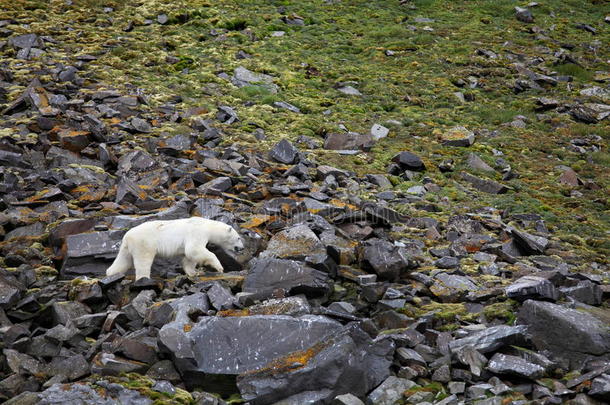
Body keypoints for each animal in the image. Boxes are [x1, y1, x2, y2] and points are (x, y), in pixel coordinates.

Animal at [105, 216, 243, 280]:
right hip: (144, 243)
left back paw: (111, 274)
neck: (208, 226)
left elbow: (189, 257)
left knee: (123, 260)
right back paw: (144, 278)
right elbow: (193, 249)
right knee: (143, 261)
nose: (241, 248)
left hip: (127, 248)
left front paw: (194, 272)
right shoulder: (197, 232)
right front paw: (219, 267)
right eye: (238, 238)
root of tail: (127, 236)